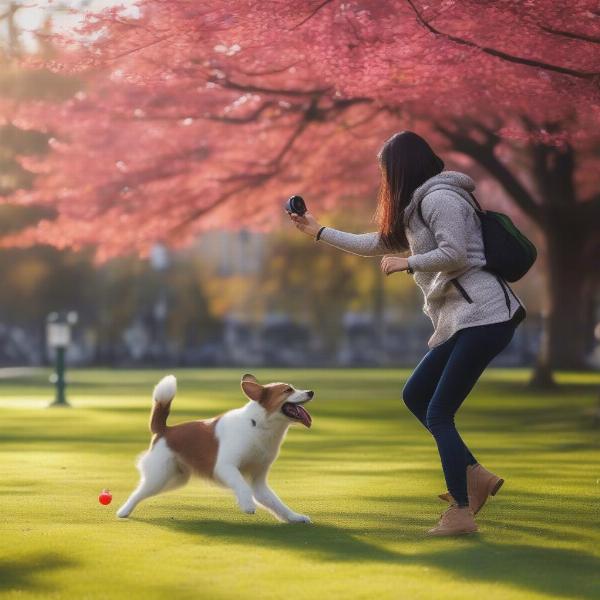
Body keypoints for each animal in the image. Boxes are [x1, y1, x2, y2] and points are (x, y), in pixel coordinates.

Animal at [117, 372, 314, 524]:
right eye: (287, 390)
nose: (311, 392)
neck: (257, 425)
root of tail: (165, 429)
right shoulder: (225, 467)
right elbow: (241, 485)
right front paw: (247, 504)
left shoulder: (259, 481)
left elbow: (276, 503)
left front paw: (294, 517)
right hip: (158, 475)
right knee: (137, 492)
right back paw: (123, 511)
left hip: (173, 480)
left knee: (143, 491)